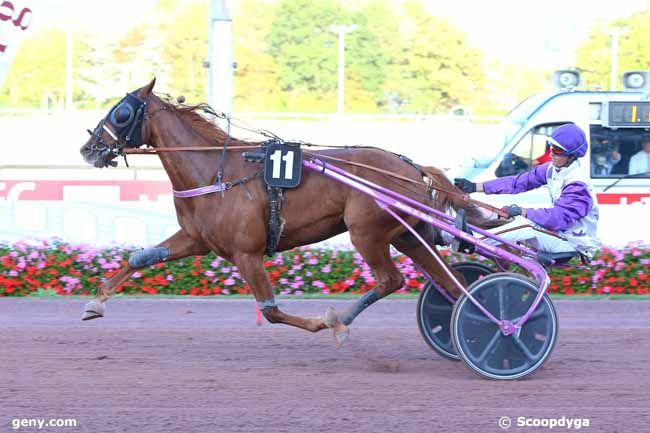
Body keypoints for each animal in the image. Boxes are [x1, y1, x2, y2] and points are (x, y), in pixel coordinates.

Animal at [78, 80, 498, 344]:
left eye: (121, 113)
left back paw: (343, 321)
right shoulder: (198, 239)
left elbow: (271, 310)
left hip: (367, 232)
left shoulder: (246, 253)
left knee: (391, 280)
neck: (215, 170)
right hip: (409, 235)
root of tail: (410, 167)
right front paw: (95, 303)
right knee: (450, 285)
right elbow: (141, 257)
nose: (88, 148)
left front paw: (325, 322)